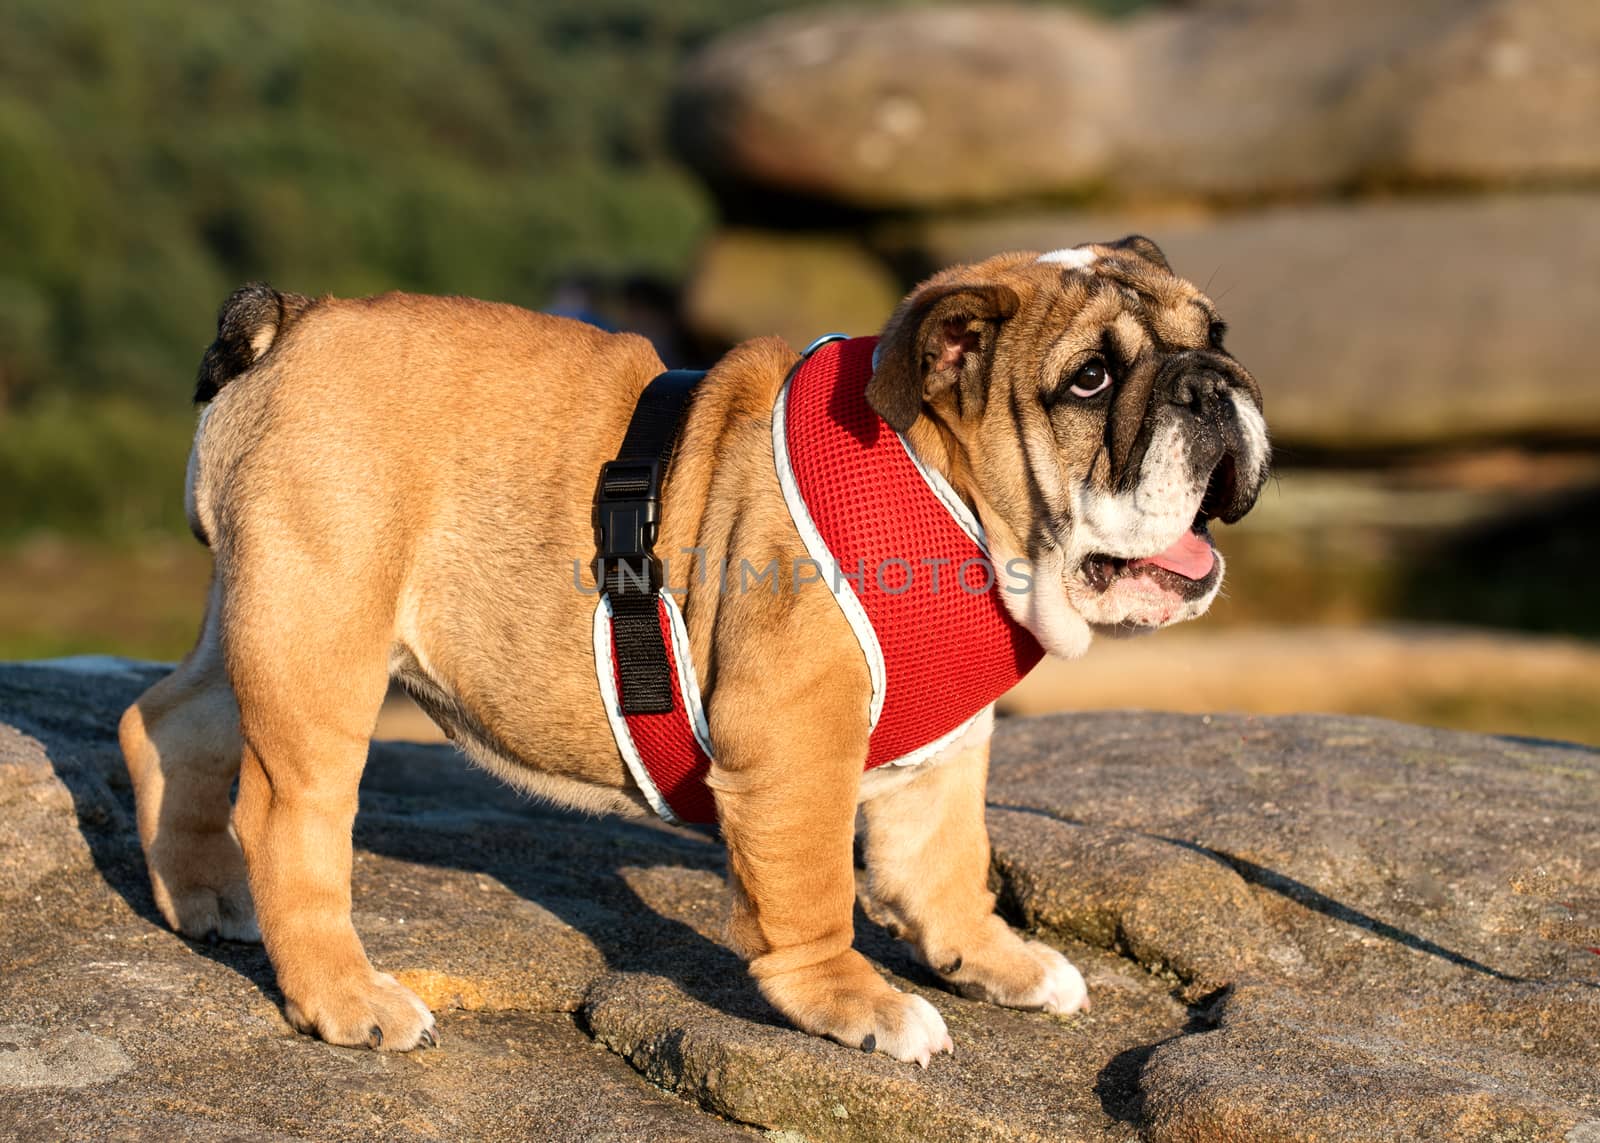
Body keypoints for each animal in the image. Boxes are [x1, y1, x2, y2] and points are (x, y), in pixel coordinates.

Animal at [118, 238, 1267, 1056]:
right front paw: (854, 1003)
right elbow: (813, 891)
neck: (947, 487)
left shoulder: (944, 750)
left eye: (1217, 330)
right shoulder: (792, 745)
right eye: (1089, 381)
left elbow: (946, 866)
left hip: (262, 611)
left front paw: (1004, 964)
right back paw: (344, 995)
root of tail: (289, 325)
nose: (1214, 384)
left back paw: (203, 897)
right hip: (322, 637)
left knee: (170, 724)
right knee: (289, 815)